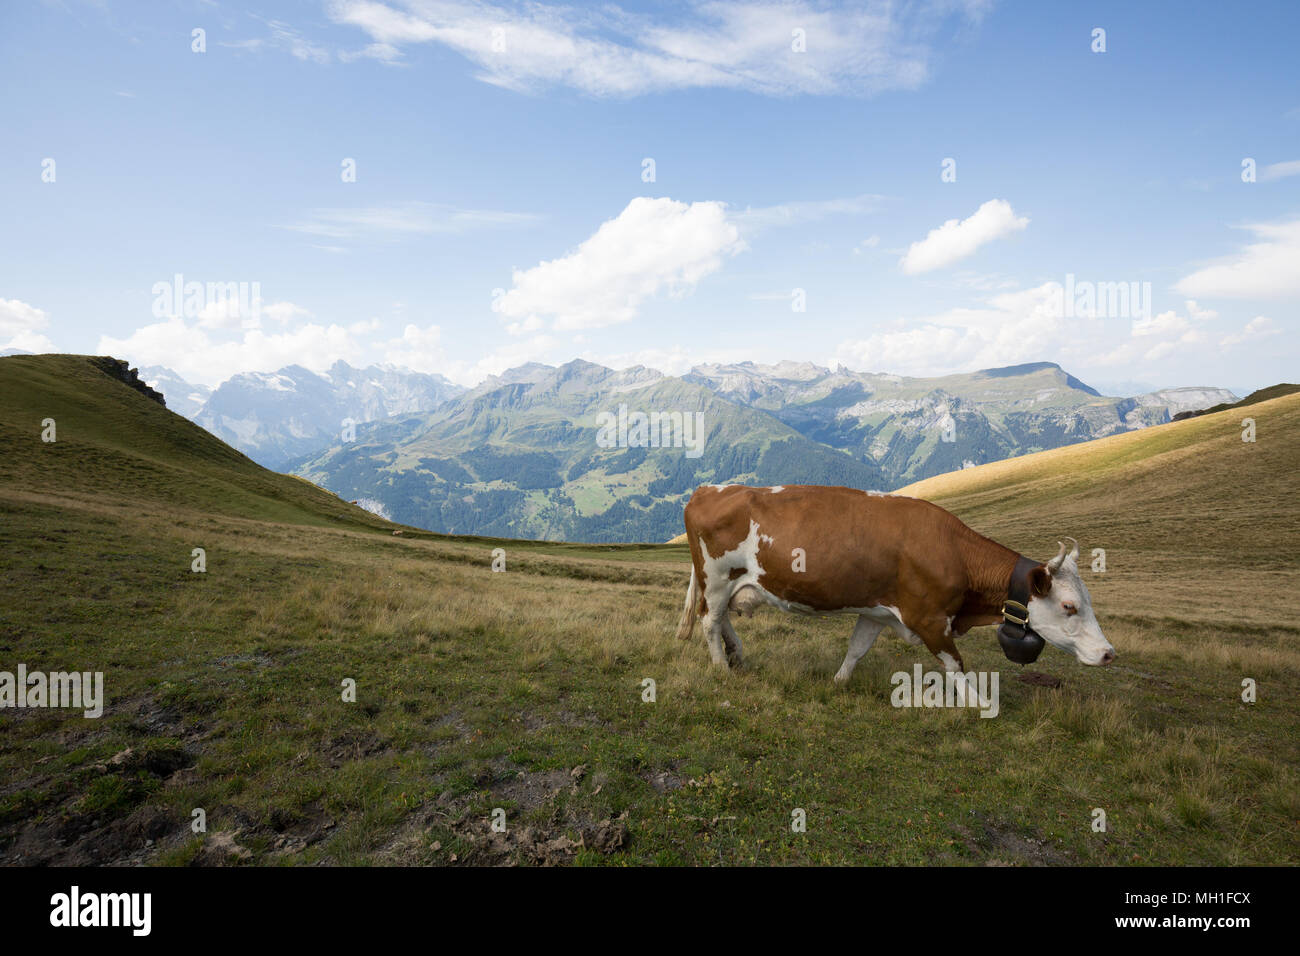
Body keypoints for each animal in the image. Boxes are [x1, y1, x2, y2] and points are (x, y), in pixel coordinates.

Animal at [674, 484, 1114, 685]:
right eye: (1070, 606)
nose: (1109, 653)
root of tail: (709, 488)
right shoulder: (929, 618)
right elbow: (956, 666)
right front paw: (978, 703)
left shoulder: (877, 611)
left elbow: (856, 649)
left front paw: (838, 682)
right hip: (716, 577)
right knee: (710, 622)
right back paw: (721, 667)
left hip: (729, 581)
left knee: (722, 619)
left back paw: (738, 654)